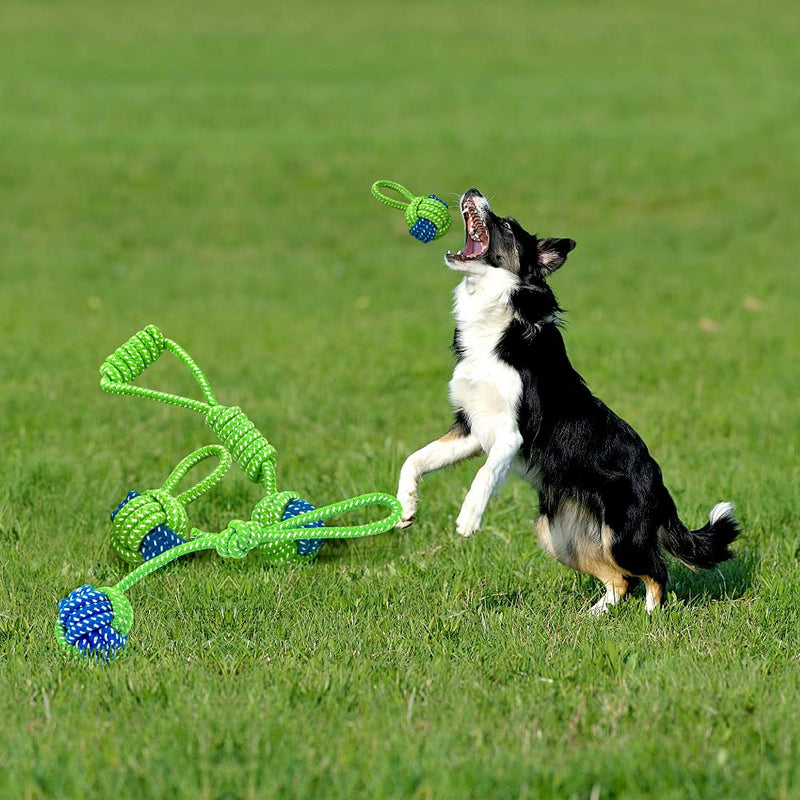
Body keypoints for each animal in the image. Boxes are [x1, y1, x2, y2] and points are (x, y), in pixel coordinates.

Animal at [396, 188, 740, 612]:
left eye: (506, 224)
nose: (472, 191)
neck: (499, 322)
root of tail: (659, 486)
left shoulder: (511, 433)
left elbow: (486, 473)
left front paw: (469, 517)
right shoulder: (470, 428)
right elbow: (415, 459)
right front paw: (406, 506)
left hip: (622, 537)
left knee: (655, 573)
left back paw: (649, 617)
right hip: (556, 532)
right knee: (619, 579)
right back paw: (595, 614)